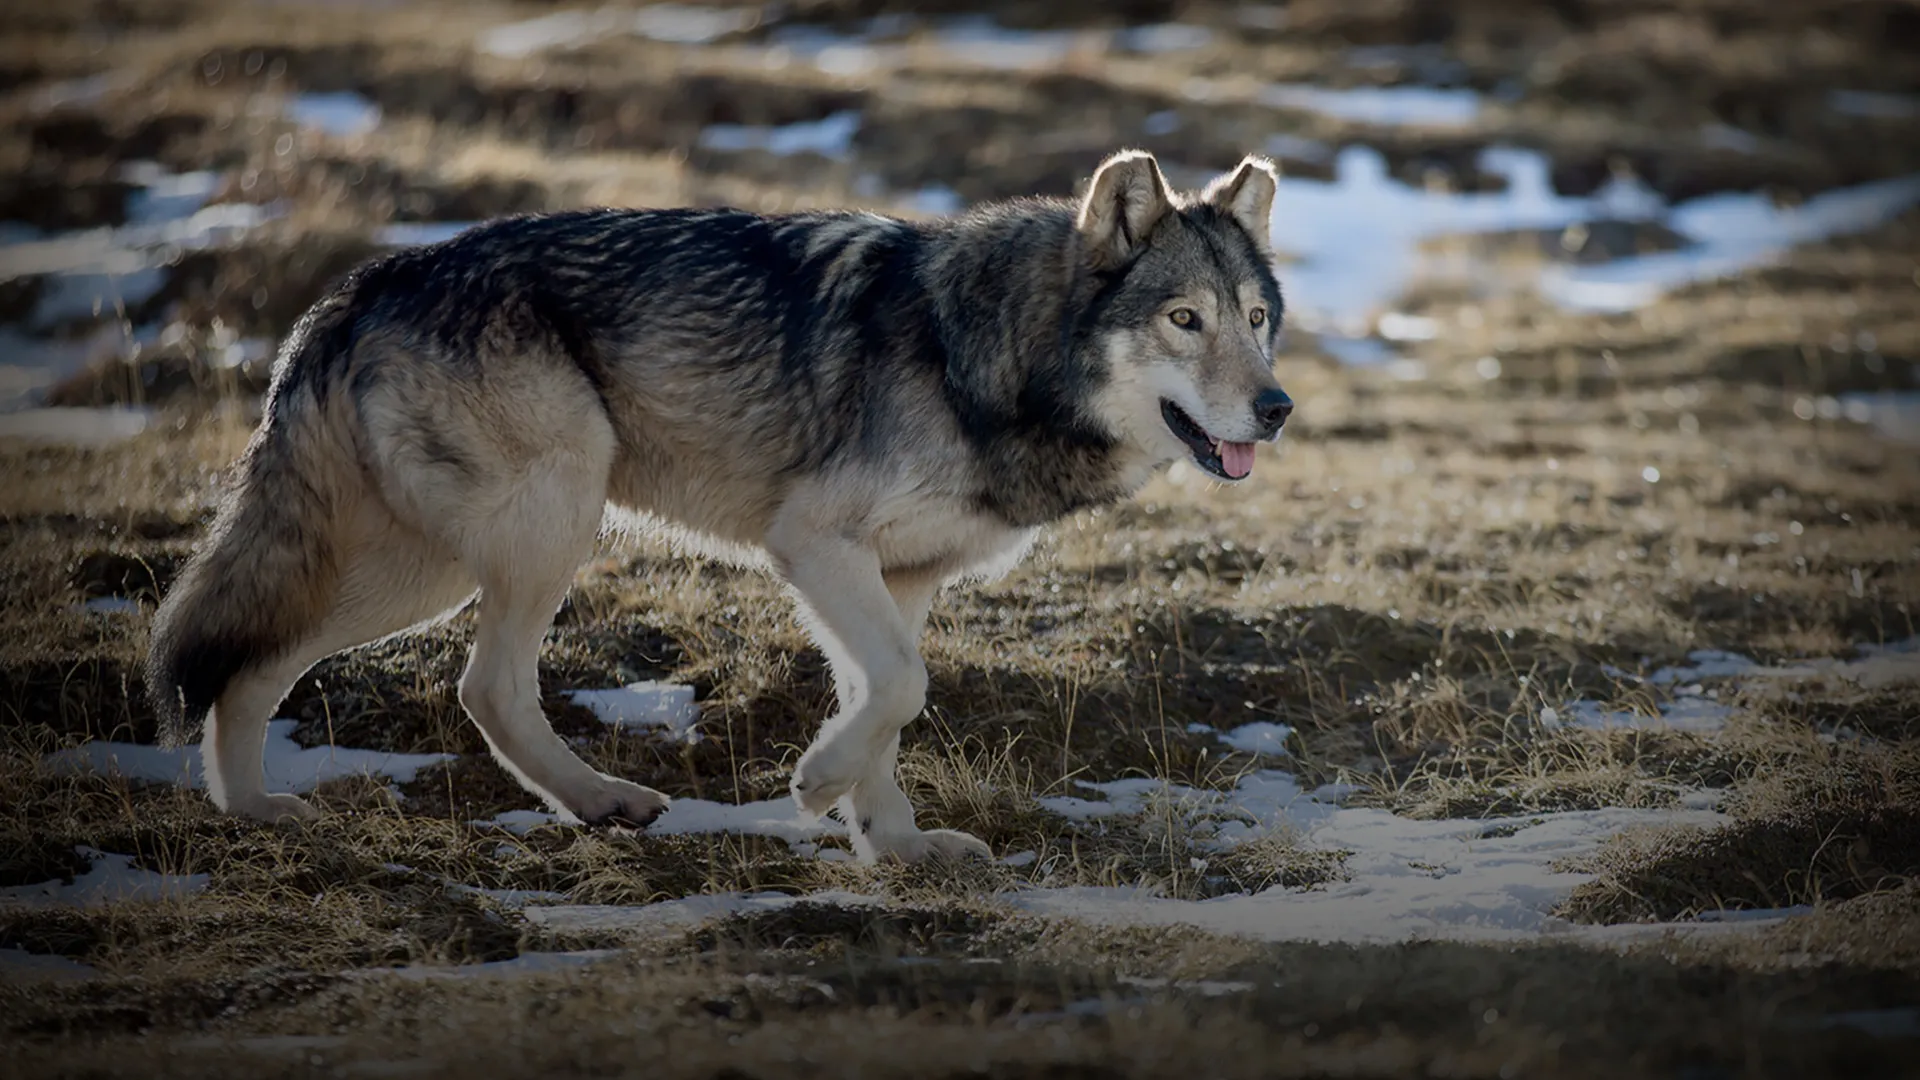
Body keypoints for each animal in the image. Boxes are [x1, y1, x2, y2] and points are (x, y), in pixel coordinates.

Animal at [146, 148, 1293, 862]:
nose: (1277, 407)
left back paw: (253, 811)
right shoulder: (814, 545)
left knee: (260, 663)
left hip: (419, 565)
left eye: (1257, 318)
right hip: (536, 525)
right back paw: (599, 801)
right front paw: (818, 784)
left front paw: (895, 845)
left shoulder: (901, 579)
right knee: (477, 685)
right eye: (1184, 319)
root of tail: (363, 285)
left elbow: (889, 704)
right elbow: (902, 688)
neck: (983, 354)